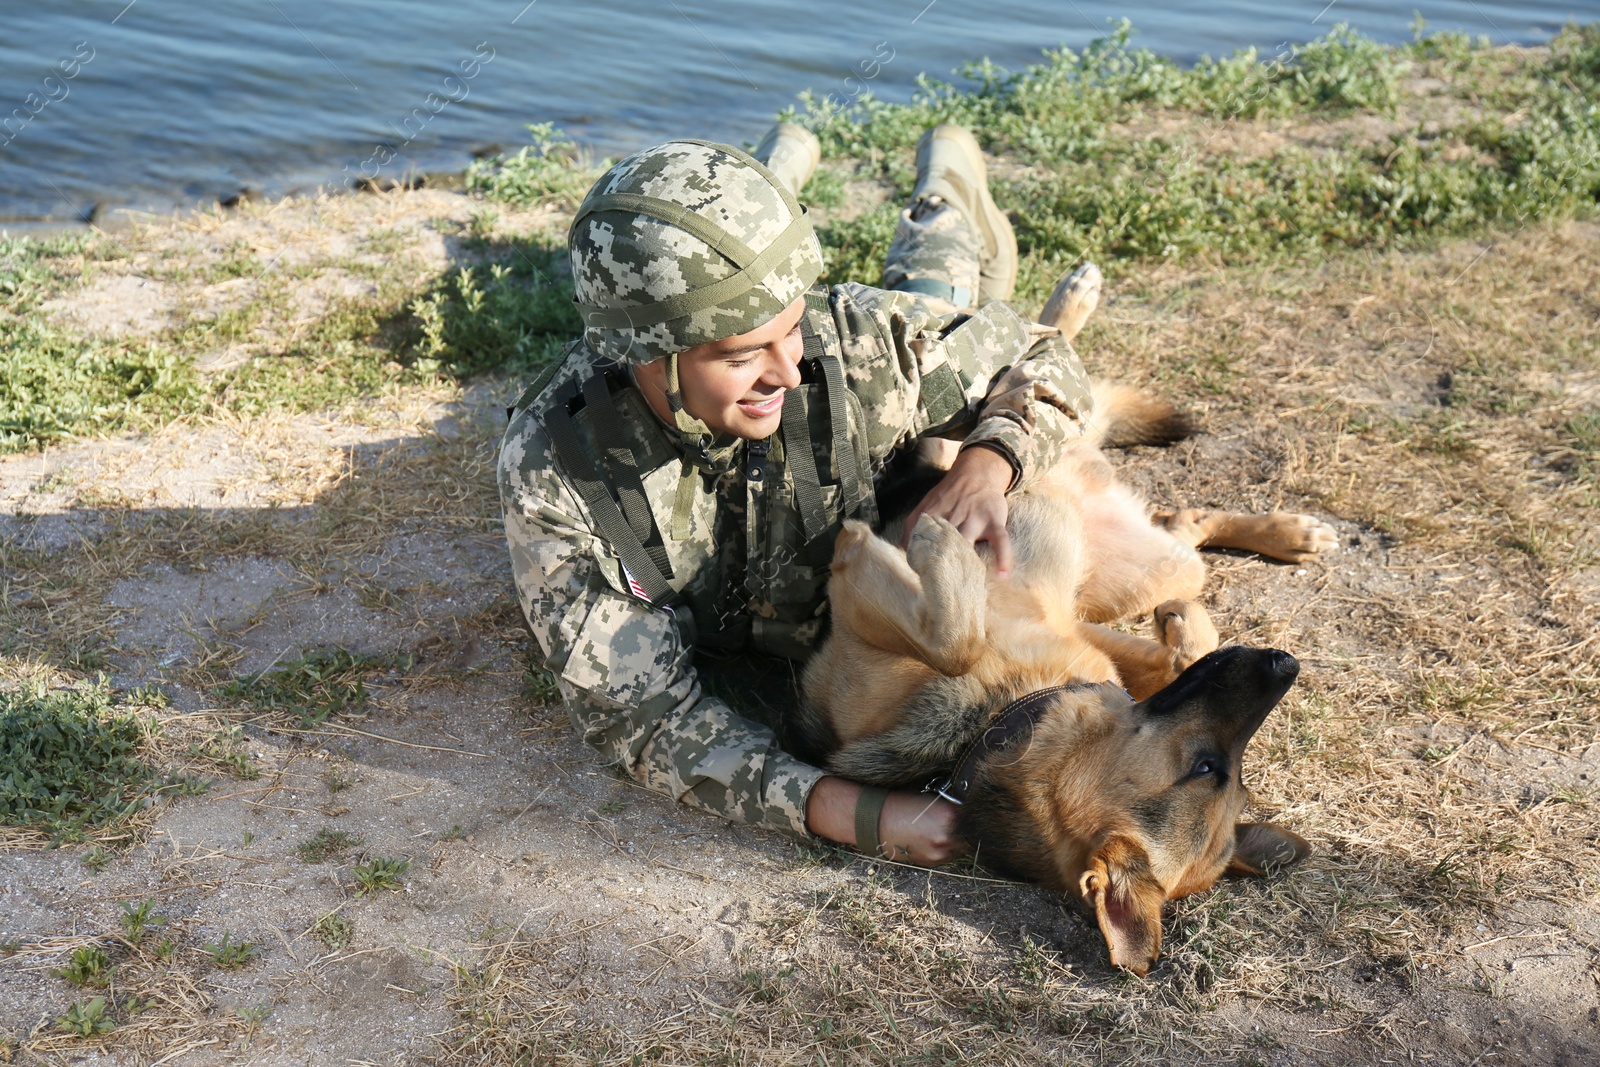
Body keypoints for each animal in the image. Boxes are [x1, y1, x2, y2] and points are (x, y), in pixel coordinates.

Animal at [793, 267, 1331, 979]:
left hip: (1152, 562)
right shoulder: (1080, 636)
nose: (1285, 664)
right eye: (1212, 769)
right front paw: (1185, 633)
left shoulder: (855, 581)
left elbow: (952, 636)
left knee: (1159, 502)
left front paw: (941, 549)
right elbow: (1173, 658)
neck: (998, 723)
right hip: (1114, 537)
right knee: (1033, 376)